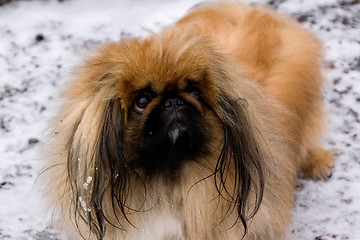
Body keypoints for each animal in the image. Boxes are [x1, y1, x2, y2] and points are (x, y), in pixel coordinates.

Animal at [43, 2, 334, 240]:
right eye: (142, 101)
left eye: (194, 92)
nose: (173, 101)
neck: (172, 181)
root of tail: (247, 11)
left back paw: (319, 163)